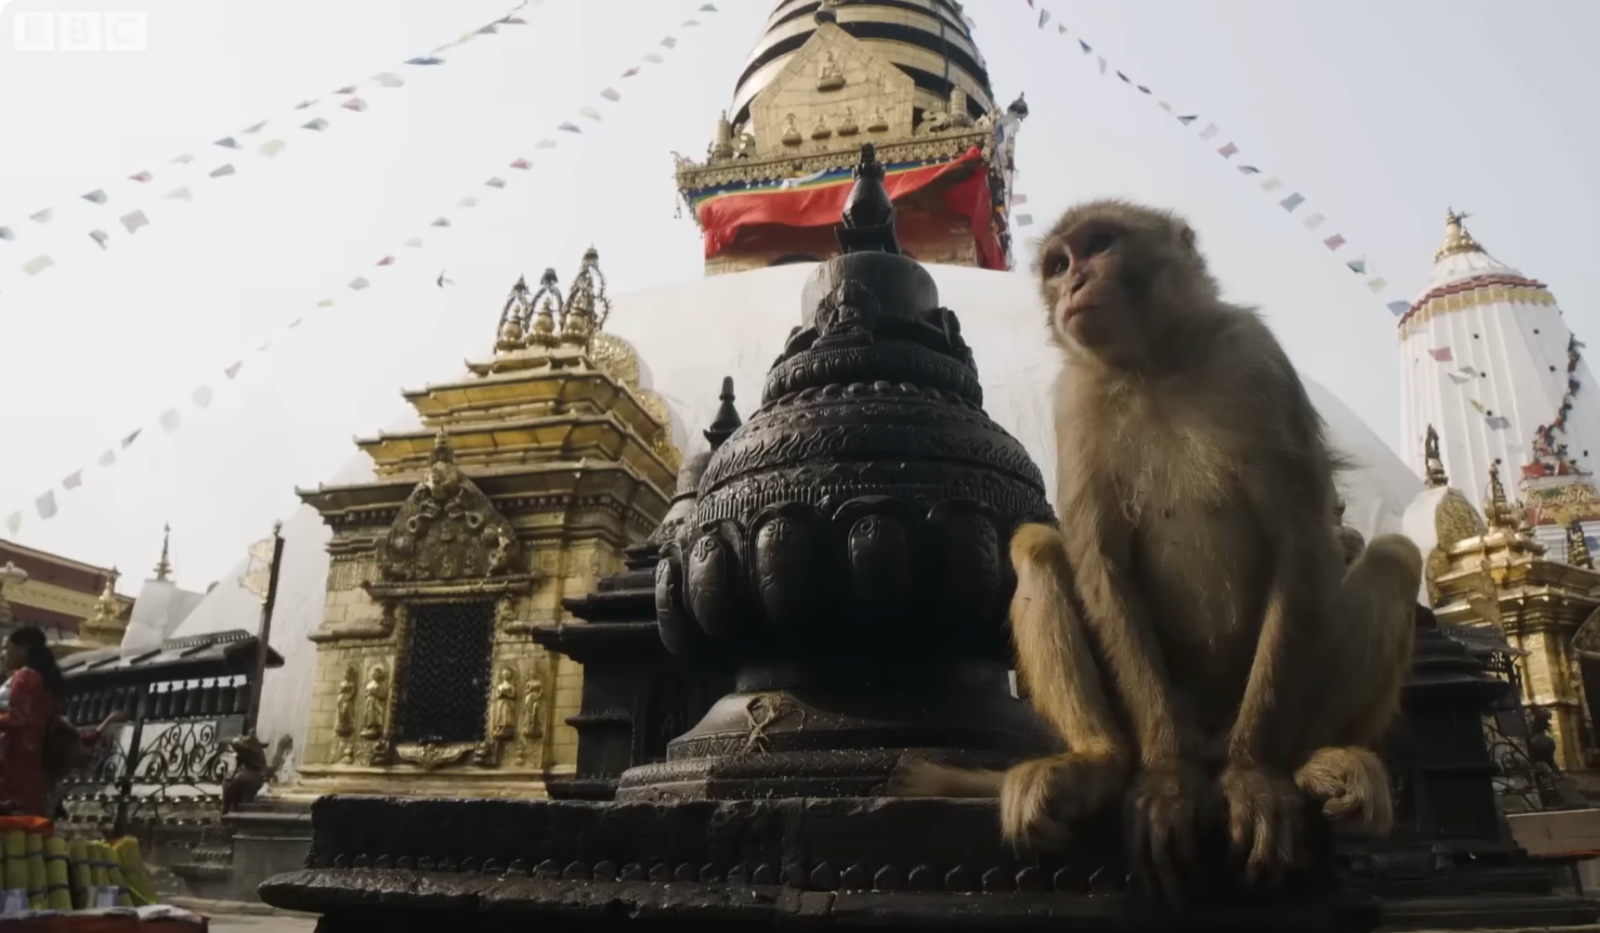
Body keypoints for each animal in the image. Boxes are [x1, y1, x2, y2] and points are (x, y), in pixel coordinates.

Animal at [888, 199, 1422, 900]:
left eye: (1099, 245)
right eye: (1058, 265)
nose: (1074, 284)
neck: (1156, 364)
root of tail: (1209, 737)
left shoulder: (1258, 358)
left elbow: (1302, 544)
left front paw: (1255, 780)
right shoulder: (1076, 400)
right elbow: (1103, 566)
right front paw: (1166, 781)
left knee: (1393, 559)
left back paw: (1311, 763)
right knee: (1038, 547)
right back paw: (1099, 764)